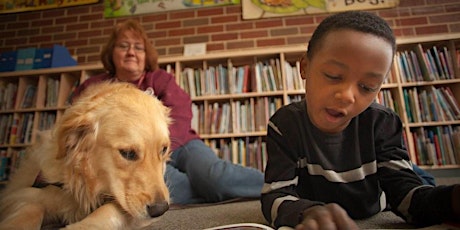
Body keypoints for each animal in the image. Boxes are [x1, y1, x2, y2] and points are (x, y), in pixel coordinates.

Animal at [0, 82, 172, 229]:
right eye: (128, 153)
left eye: (164, 149)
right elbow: (30, 208)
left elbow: (109, 209)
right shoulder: (20, 194)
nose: (161, 209)